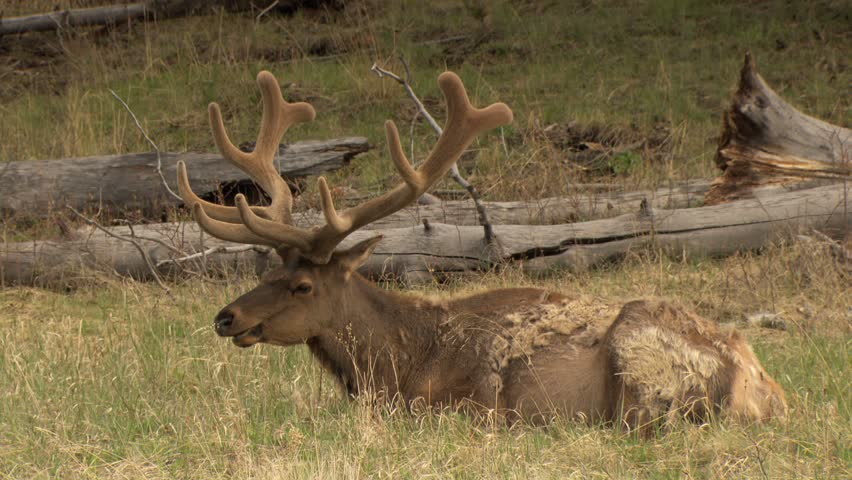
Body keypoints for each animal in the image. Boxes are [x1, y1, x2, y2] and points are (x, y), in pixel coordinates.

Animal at [176, 68, 788, 432]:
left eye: (303, 285)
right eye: (267, 272)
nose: (226, 317)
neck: (396, 366)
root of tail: (764, 386)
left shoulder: (464, 404)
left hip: (640, 369)